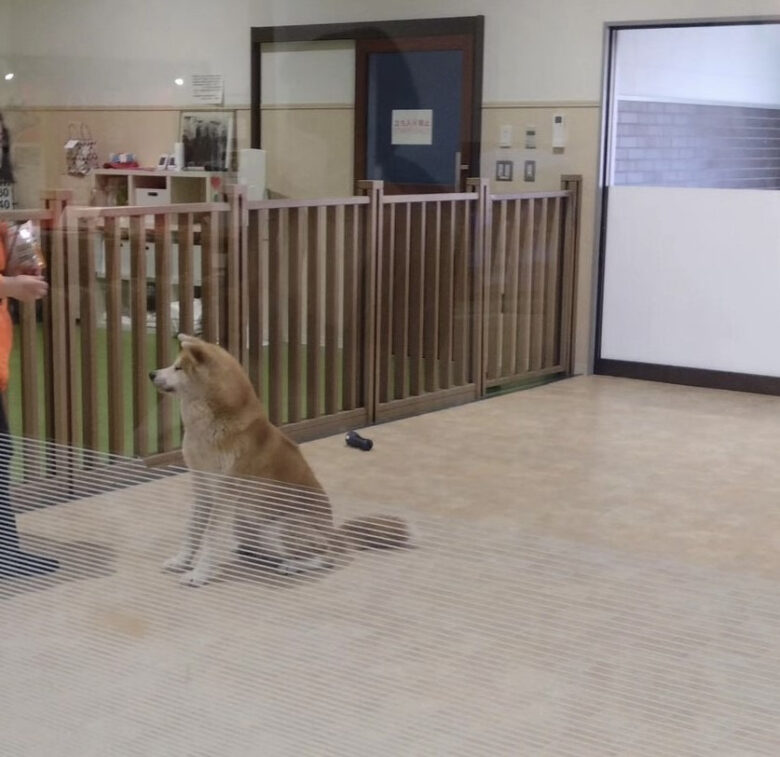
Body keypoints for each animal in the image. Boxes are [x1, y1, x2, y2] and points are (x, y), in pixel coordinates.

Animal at [149, 334, 412, 588]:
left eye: (178, 368)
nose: (152, 374)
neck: (209, 425)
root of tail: (332, 533)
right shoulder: (202, 488)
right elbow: (192, 531)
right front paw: (181, 561)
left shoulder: (226, 495)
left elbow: (210, 539)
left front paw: (199, 574)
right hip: (242, 522)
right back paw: (250, 552)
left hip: (278, 528)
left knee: (325, 556)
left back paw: (292, 565)